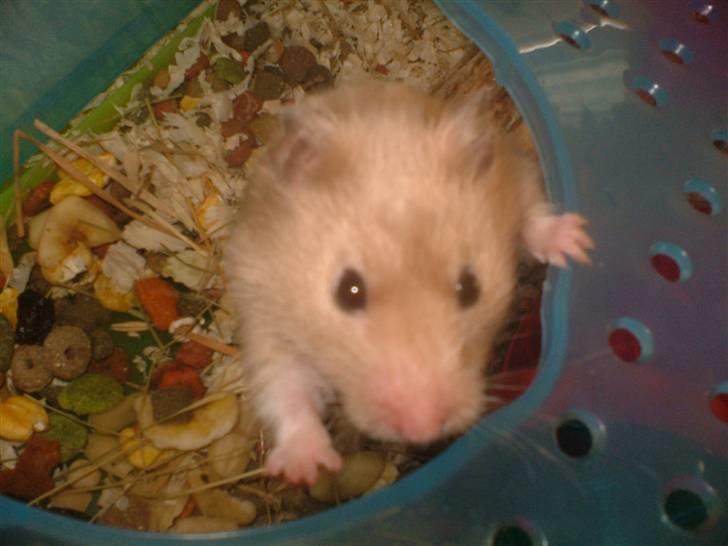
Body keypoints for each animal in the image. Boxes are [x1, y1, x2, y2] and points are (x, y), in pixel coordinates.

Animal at [224, 80, 592, 485]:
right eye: (348, 291)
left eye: (471, 287)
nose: (423, 431)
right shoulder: (264, 312)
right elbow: (286, 389)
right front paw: (306, 469)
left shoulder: (515, 177)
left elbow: (533, 215)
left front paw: (579, 243)